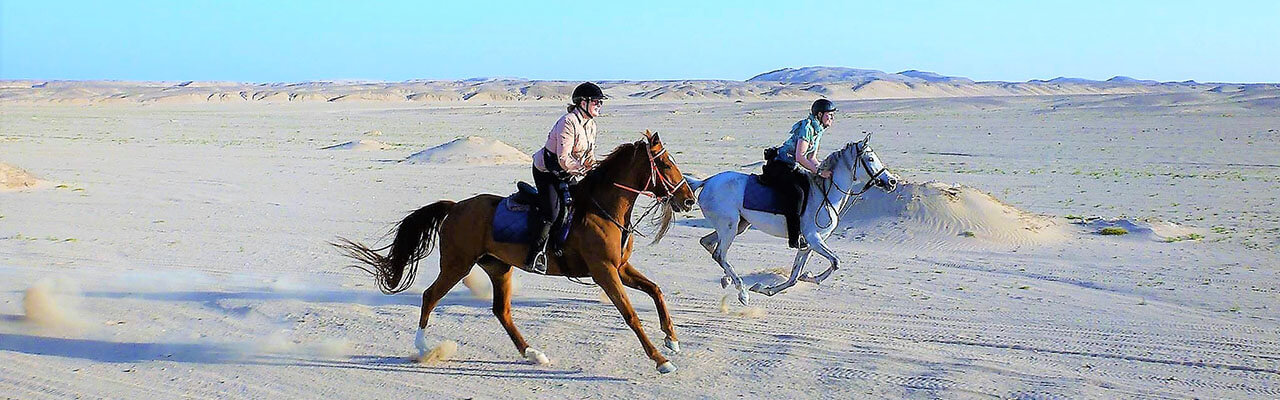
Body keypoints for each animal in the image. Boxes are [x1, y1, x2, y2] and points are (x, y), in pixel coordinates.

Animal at [330, 132, 691, 374]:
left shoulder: (620, 267)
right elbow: (630, 315)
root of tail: (455, 207)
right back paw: (422, 347)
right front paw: (661, 360)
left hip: (498, 267)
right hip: (457, 265)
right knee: (430, 296)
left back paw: (533, 354)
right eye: (665, 163)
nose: (687, 199)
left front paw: (672, 339)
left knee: (501, 311)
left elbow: (656, 291)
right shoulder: (604, 271)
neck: (602, 209)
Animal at [680, 133, 901, 302]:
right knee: (719, 254)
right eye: (870, 159)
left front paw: (768, 288)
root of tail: (707, 181)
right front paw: (808, 278)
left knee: (708, 244)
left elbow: (795, 276)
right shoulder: (814, 239)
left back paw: (727, 281)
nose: (891, 181)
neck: (825, 194)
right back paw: (741, 292)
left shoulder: (809, 244)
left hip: (738, 226)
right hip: (729, 227)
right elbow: (835, 262)